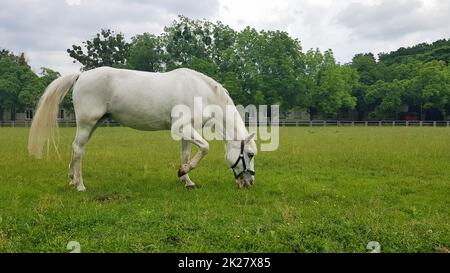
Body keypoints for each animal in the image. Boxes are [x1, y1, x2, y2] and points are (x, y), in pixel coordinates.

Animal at [27, 66, 256, 190]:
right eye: (250, 154)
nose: (249, 182)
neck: (200, 93)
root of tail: (81, 76)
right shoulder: (181, 129)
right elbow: (206, 148)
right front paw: (183, 172)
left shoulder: (186, 133)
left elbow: (186, 155)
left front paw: (186, 179)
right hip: (87, 123)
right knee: (77, 150)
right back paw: (80, 185)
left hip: (94, 124)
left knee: (77, 149)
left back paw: (72, 180)